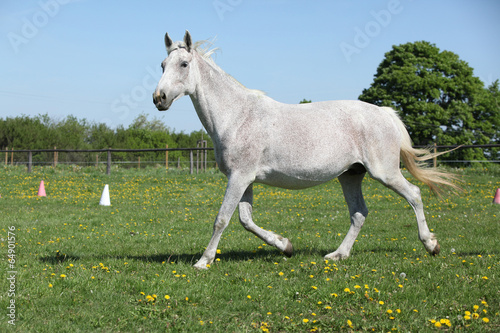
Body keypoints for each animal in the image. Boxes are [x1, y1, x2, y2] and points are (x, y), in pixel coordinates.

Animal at [153, 31, 460, 268]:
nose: (159, 98)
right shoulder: (244, 179)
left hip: (385, 173)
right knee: (359, 213)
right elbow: (246, 220)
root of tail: (385, 113)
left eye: (183, 64)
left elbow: (222, 219)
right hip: (350, 175)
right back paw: (338, 255)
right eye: (163, 64)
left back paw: (431, 245)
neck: (238, 116)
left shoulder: (239, 177)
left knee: (414, 195)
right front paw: (286, 246)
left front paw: (203, 261)